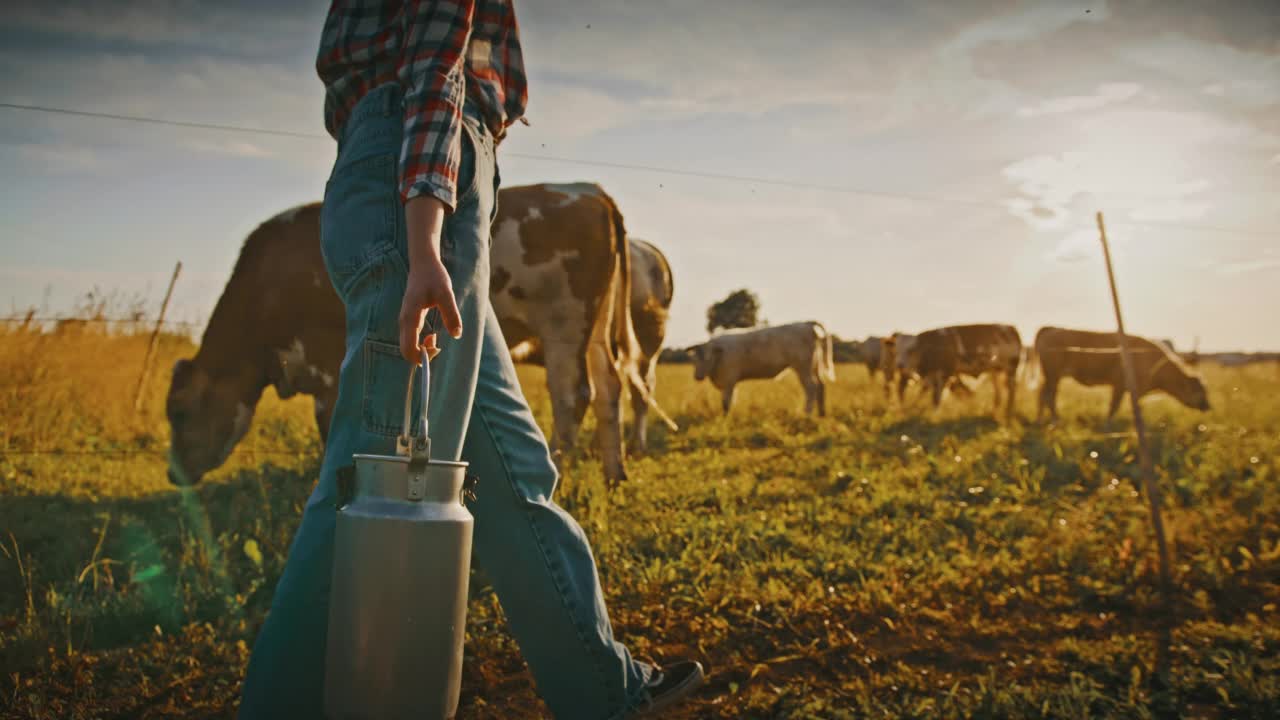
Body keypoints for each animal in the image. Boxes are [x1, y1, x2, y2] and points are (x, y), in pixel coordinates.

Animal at [170, 184, 680, 484]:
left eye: (180, 413)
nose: (174, 475)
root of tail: (588, 191)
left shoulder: (330, 356)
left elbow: (330, 422)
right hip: (594, 330)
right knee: (611, 388)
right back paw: (614, 472)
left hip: (563, 324)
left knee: (573, 394)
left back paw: (563, 464)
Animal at [691, 320, 839, 415]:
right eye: (695, 359)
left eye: (709, 358)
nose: (698, 376)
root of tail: (807, 324)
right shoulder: (729, 382)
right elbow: (728, 401)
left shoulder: (729, 380)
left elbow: (726, 402)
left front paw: (725, 418)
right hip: (815, 365)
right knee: (821, 385)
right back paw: (821, 413)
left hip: (803, 367)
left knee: (811, 387)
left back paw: (806, 414)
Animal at [896, 322, 1024, 417]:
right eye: (897, 349)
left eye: (911, 350)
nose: (900, 365)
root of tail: (1011, 327)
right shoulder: (932, 376)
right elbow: (929, 394)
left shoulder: (946, 371)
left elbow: (937, 397)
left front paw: (935, 415)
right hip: (995, 371)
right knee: (998, 394)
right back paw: (993, 412)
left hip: (1011, 368)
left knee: (1012, 392)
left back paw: (1008, 412)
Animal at [1029, 325, 1208, 420]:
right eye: (1200, 391)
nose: (1208, 406)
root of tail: (1051, 328)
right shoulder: (1120, 385)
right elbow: (1114, 407)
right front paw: (1108, 426)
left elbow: (1133, 408)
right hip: (1053, 374)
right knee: (1049, 396)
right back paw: (1056, 421)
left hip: (1051, 375)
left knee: (1043, 395)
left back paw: (1041, 420)